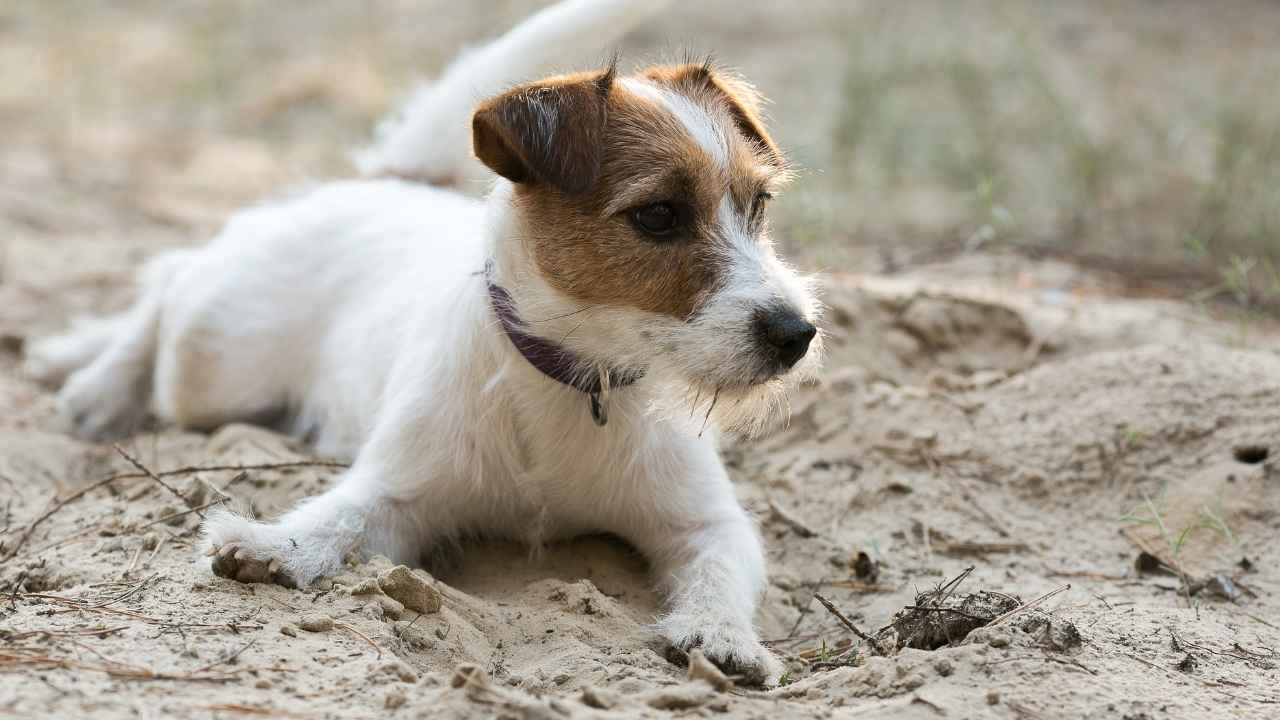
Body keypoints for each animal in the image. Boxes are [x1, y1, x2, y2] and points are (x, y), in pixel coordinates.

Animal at [27, 0, 819, 681]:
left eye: (758, 204)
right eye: (658, 215)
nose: (797, 333)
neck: (574, 379)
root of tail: (389, 182)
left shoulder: (709, 522)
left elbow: (722, 568)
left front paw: (720, 634)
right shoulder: (398, 493)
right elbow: (337, 517)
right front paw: (273, 545)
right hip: (212, 364)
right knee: (172, 275)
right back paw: (92, 378)